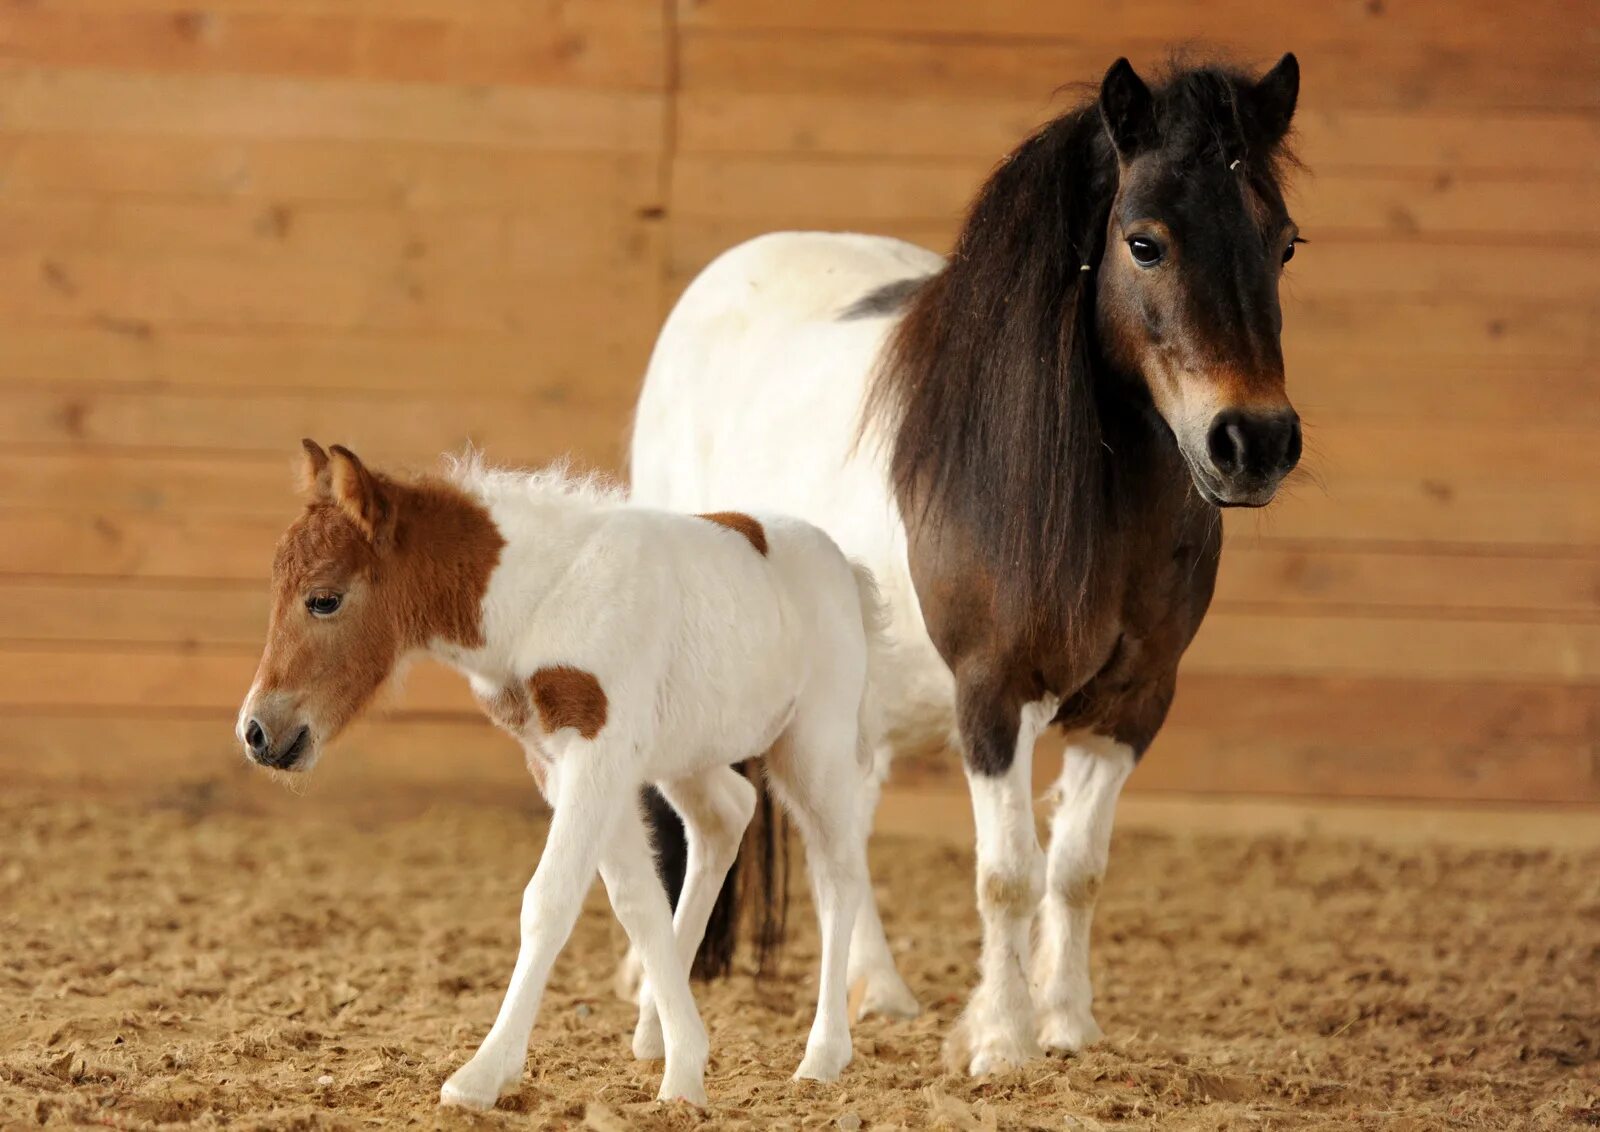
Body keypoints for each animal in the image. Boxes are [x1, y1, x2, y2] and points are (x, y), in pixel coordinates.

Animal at [240, 441, 876, 1106]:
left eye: (324, 598)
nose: (257, 732)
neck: (543, 598)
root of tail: (845, 567)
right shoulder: (564, 762)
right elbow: (637, 900)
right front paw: (684, 1066)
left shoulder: (596, 753)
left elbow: (550, 900)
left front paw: (482, 1074)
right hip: (689, 751)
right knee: (727, 815)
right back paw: (654, 1030)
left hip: (813, 743)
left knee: (838, 872)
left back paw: (824, 1055)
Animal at [624, 57, 1299, 1074]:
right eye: (1144, 243)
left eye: (1286, 243)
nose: (1252, 443)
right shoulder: (992, 696)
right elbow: (1009, 875)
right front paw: (1005, 1043)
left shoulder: (1135, 706)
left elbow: (1077, 869)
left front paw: (1066, 1025)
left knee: (843, 829)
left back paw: (879, 993)